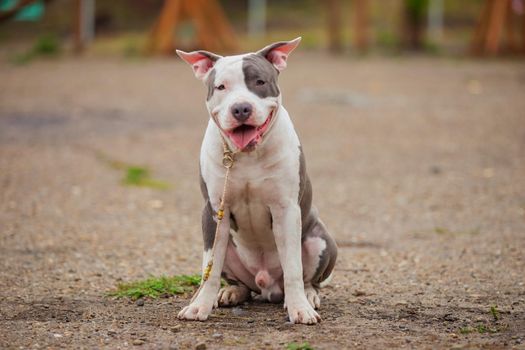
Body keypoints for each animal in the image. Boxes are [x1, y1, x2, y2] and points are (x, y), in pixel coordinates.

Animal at [175, 37, 336, 324]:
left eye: (259, 82)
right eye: (221, 87)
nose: (241, 108)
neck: (247, 155)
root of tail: (267, 286)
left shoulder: (286, 210)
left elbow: (293, 267)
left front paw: (300, 309)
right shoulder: (214, 211)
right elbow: (209, 269)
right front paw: (199, 306)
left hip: (320, 240)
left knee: (309, 278)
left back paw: (308, 295)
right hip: (228, 246)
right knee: (236, 280)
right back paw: (231, 292)